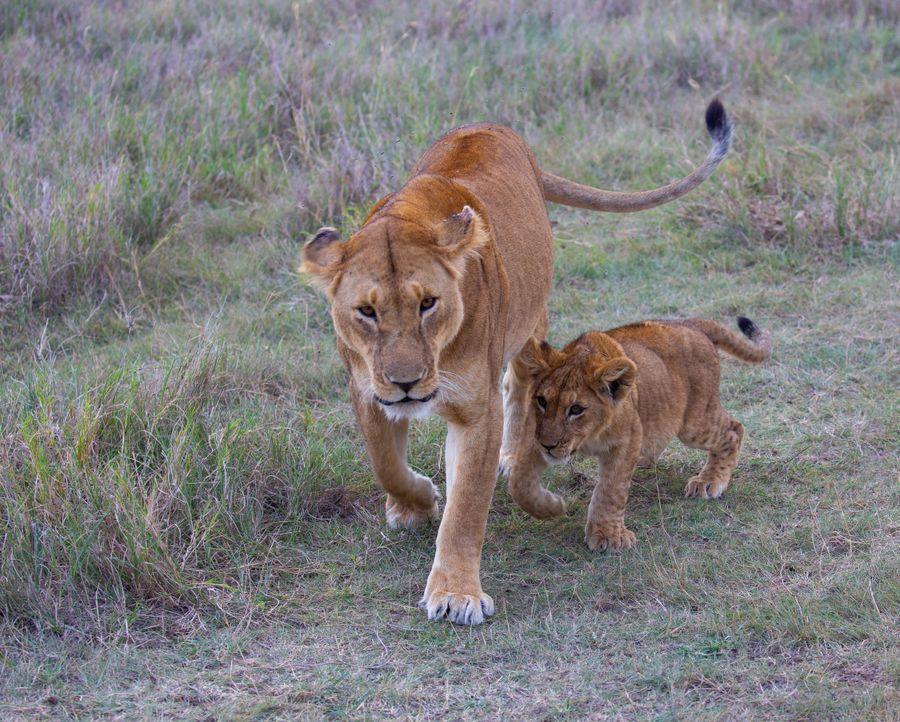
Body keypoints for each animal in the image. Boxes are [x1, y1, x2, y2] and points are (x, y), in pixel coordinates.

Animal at [301, 100, 732, 625]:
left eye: (428, 304)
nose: (407, 383)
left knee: (522, 382)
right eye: (366, 311)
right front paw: (417, 503)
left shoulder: (475, 409)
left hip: (530, 321)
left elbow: (466, 507)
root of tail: (491, 126)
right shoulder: (367, 394)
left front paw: (457, 592)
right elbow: (386, 463)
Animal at [507, 317, 772, 552]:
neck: (588, 436)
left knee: (734, 429)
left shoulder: (627, 440)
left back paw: (709, 481)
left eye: (576, 409)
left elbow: (611, 490)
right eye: (542, 401)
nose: (548, 445)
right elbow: (519, 484)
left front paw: (608, 536)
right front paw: (551, 506)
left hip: (694, 423)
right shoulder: (533, 436)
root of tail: (689, 323)